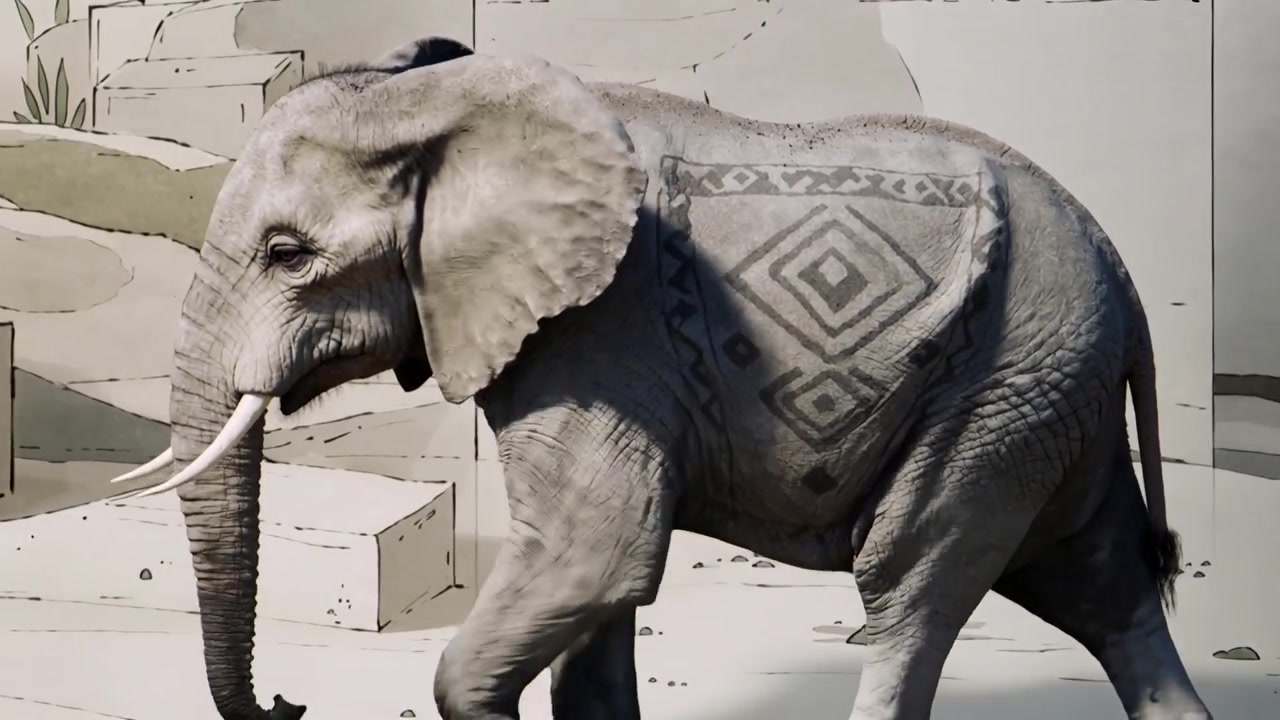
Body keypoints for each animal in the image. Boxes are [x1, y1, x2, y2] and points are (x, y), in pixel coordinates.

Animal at [110, 35, 1213, 720]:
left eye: (287, 255)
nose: (290, 702)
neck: (444, 100)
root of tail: (1120, 273)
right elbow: (594, 620)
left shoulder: (603, 329)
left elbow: (590, 560)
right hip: (1045, 392)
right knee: (1099, 583)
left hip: (1003, 382)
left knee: (910, 584)